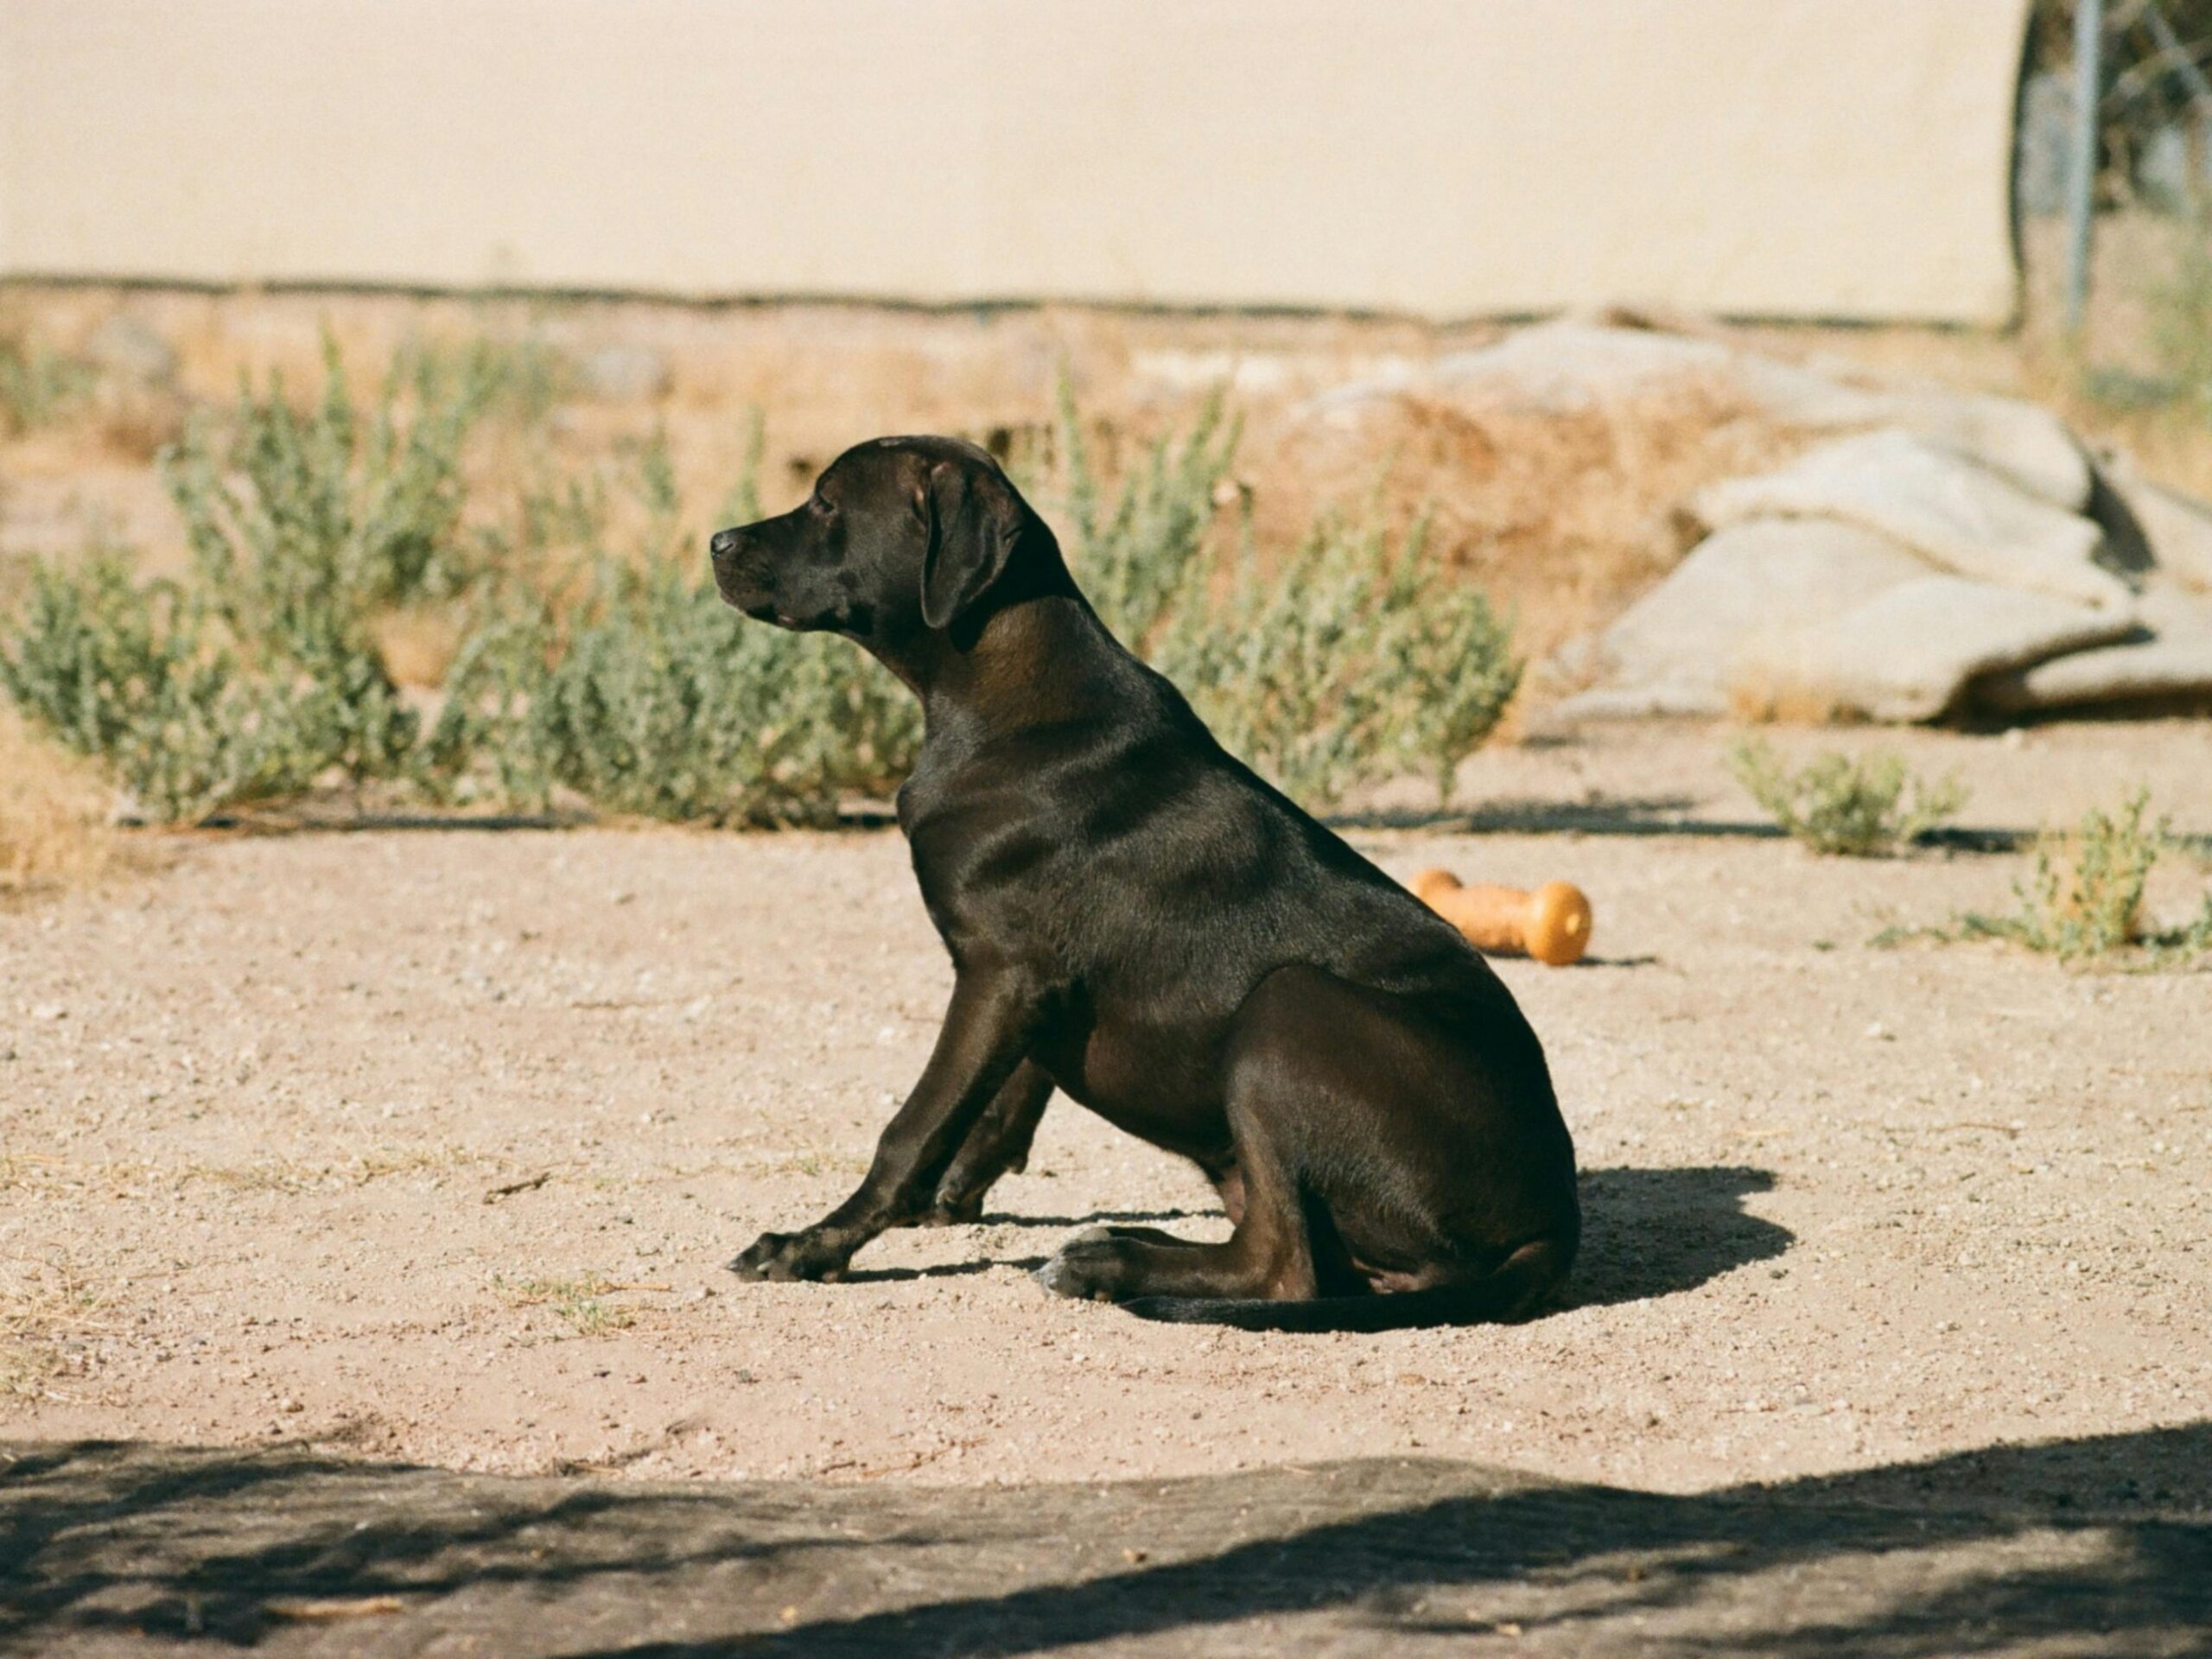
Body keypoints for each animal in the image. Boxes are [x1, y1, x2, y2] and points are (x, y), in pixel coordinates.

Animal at [708, 435, 1574, 1336]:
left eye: (828, 504)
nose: (716, 544)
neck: (1002, 694)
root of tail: (1555, 1224)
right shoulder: (1028, 992)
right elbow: (1000, 1100)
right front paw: (949, 1194)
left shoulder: (998, 973)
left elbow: (911, 1130)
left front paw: (811, 1246)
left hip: (1285, 1006)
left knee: (1283, 1269)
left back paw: (1111, 1262)